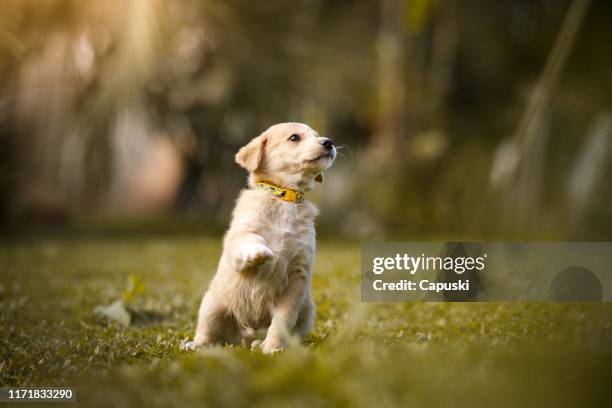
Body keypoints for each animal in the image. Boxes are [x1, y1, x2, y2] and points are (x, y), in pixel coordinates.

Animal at [184, 121, 338, 354]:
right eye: (294, 137)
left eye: (317, 135)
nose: (329, 142)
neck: (284, 198)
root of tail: (246, 335)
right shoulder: (239, 237)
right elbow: (250, 238)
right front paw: (260, 251)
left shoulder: (298, 274)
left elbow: (282, 320)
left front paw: (273, 348)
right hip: (211, 305)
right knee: (209, 334)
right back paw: (196, 344)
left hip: (307, 312)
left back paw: (262, 344)